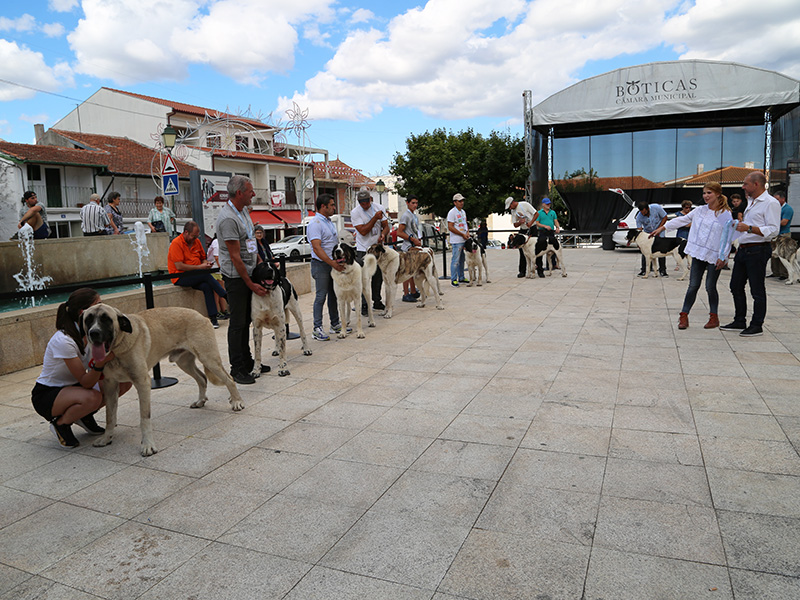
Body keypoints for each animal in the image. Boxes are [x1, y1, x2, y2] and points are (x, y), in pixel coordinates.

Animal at [81, 304, 245, 454]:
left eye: (106, 319)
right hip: (184, 362)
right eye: (88, 319)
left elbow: (144, 418)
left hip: (208, 358)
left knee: (229, 379)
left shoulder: (142, 382)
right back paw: (201, 400)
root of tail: (201, 315)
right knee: (202, 378)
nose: (94, 333)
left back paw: (236, 401)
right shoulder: (109, 386)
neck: (117, 348)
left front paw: (147, 444)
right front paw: (107, 438)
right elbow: (110, 416)